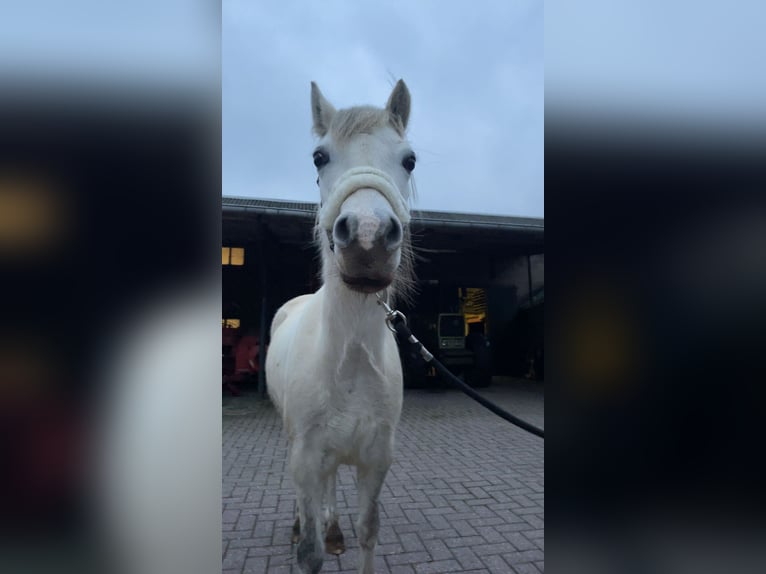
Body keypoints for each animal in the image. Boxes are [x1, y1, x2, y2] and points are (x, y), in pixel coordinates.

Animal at [268, 82, 416, 574]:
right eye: (319, 157)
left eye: (409, 160)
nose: (368, 237)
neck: (349, 360)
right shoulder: (306, 456)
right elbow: (309, 553)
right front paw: (311, 536)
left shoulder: (376, 461)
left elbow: (368, 531)